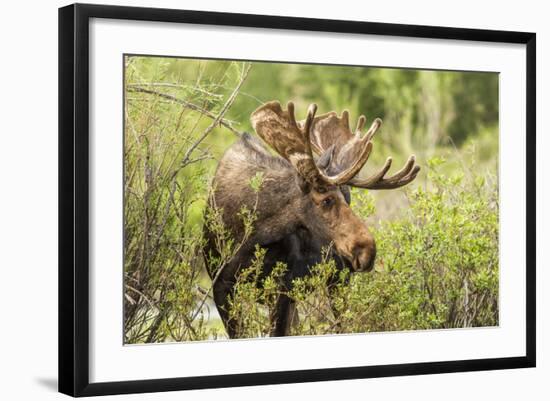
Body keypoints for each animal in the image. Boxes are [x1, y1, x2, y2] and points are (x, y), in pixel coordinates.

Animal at [205, 101, 420, 338]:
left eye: (347, 198)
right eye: (326, 200)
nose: (367, 251)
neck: (252, 235)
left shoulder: (283, 287)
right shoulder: (220, 285)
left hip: (338, 281)